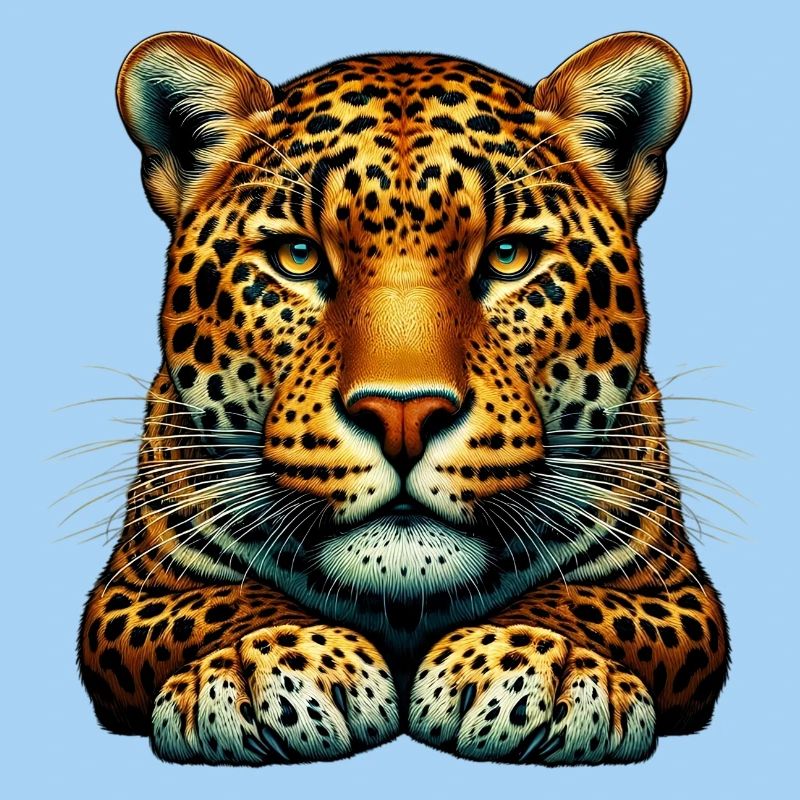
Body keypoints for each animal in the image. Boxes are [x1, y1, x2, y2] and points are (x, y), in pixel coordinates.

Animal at [79, 30, 729, 765]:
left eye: (508, 256)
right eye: (298, 256)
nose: (403, 415)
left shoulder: (675, 590)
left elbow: (585, 602)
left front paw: (534, 667)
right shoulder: (131, 590)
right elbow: (220, 603)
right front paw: (272, 666)